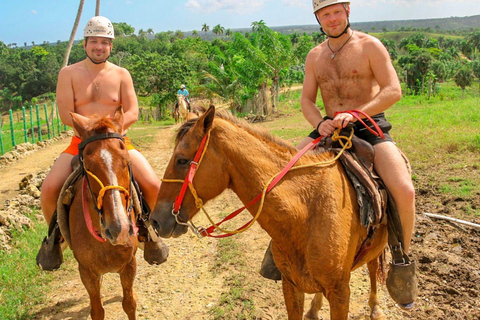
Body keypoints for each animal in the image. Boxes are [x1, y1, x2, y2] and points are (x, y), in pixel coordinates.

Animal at [66, 108, 137, 320]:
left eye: (127, 162)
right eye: (88, 167)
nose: (119, 229)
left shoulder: (129, 265)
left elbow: (129, 304)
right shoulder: (87, 273)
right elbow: (97, 310)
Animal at [153, 106, 390, 318]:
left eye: (182, 160)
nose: (155, 220)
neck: (306, 210)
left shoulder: (340, 293)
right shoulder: (291, 285)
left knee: (372, 266)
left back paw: (376, 309)